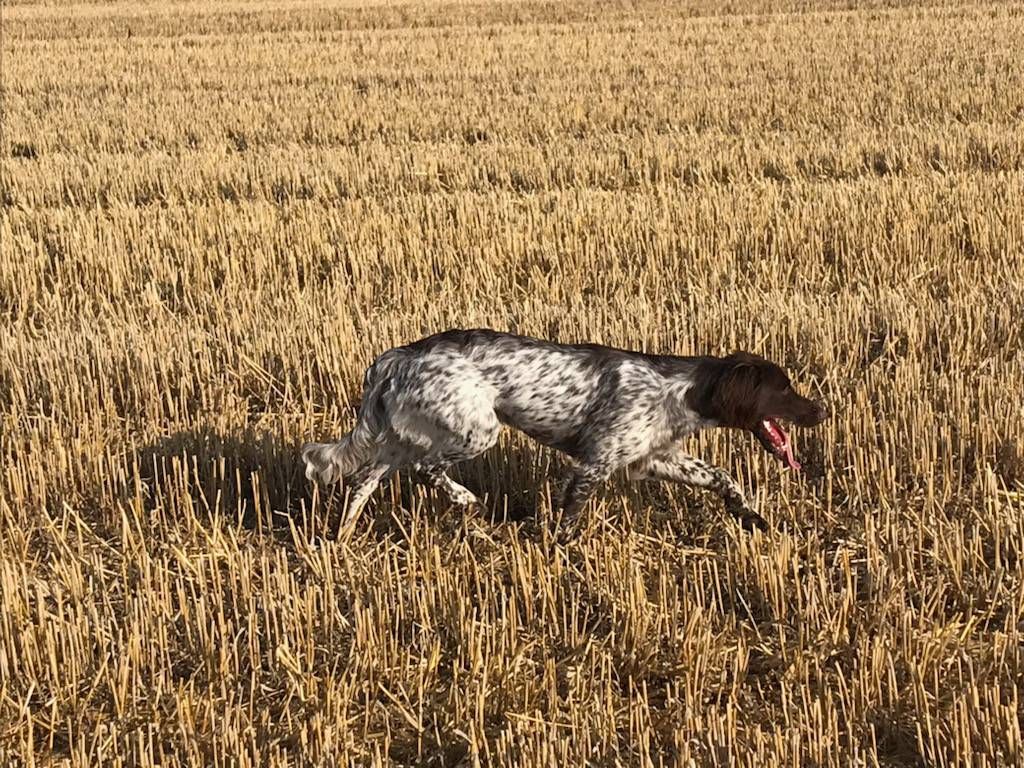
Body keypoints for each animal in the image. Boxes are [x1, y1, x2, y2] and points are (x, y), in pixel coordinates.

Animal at [301, 329, 823, 536]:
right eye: (783, 388)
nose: (820, 411)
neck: (682, 389)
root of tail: (398, 355)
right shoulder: (596, 462)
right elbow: (570, 517)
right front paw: (559, 553)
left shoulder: (652, 459)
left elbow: (721, 476)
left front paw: (751, 516)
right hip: (475, 430)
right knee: (426, 470)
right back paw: (466, 500)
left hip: (405, 433)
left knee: (363, 478)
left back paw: (343, 536)